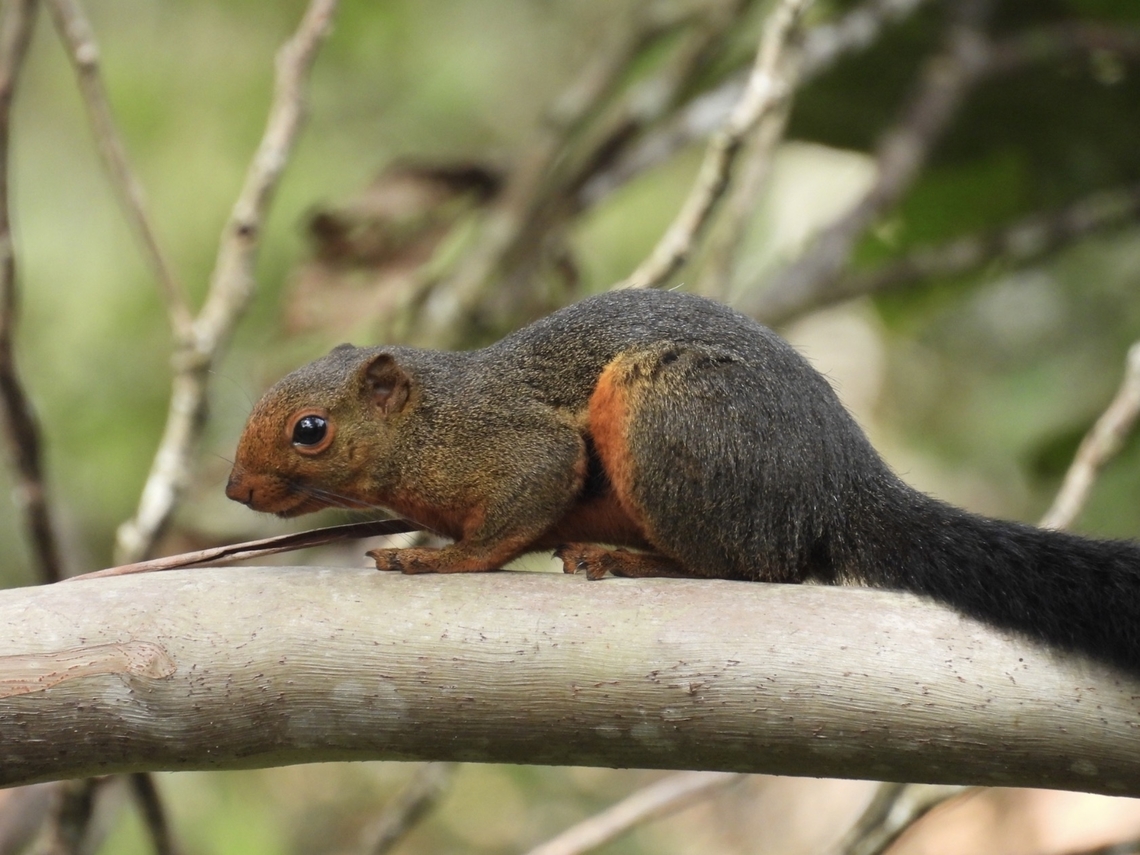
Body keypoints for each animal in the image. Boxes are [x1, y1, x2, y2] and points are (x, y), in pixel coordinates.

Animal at [227, 288, 1140, 676]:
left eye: (310, 430)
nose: (237, 487)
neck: (432, 420)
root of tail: (842, 483)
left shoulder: (518, 445)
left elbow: (520, 506)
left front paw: (437, 558)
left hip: (668, 415)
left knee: (758, 568)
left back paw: (631, 560)